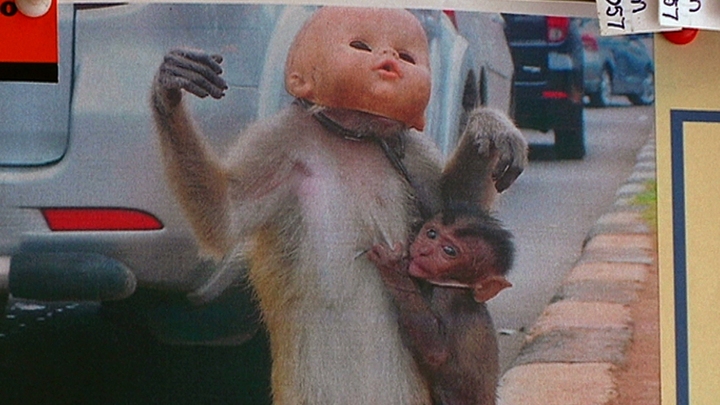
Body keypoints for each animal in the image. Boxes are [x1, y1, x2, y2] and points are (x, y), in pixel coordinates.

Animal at [368, 203, 514, 405]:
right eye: (431, 234)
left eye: (449, 251)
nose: (424, 251)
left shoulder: (447, 297)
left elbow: (436, 350)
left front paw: (393, 269)